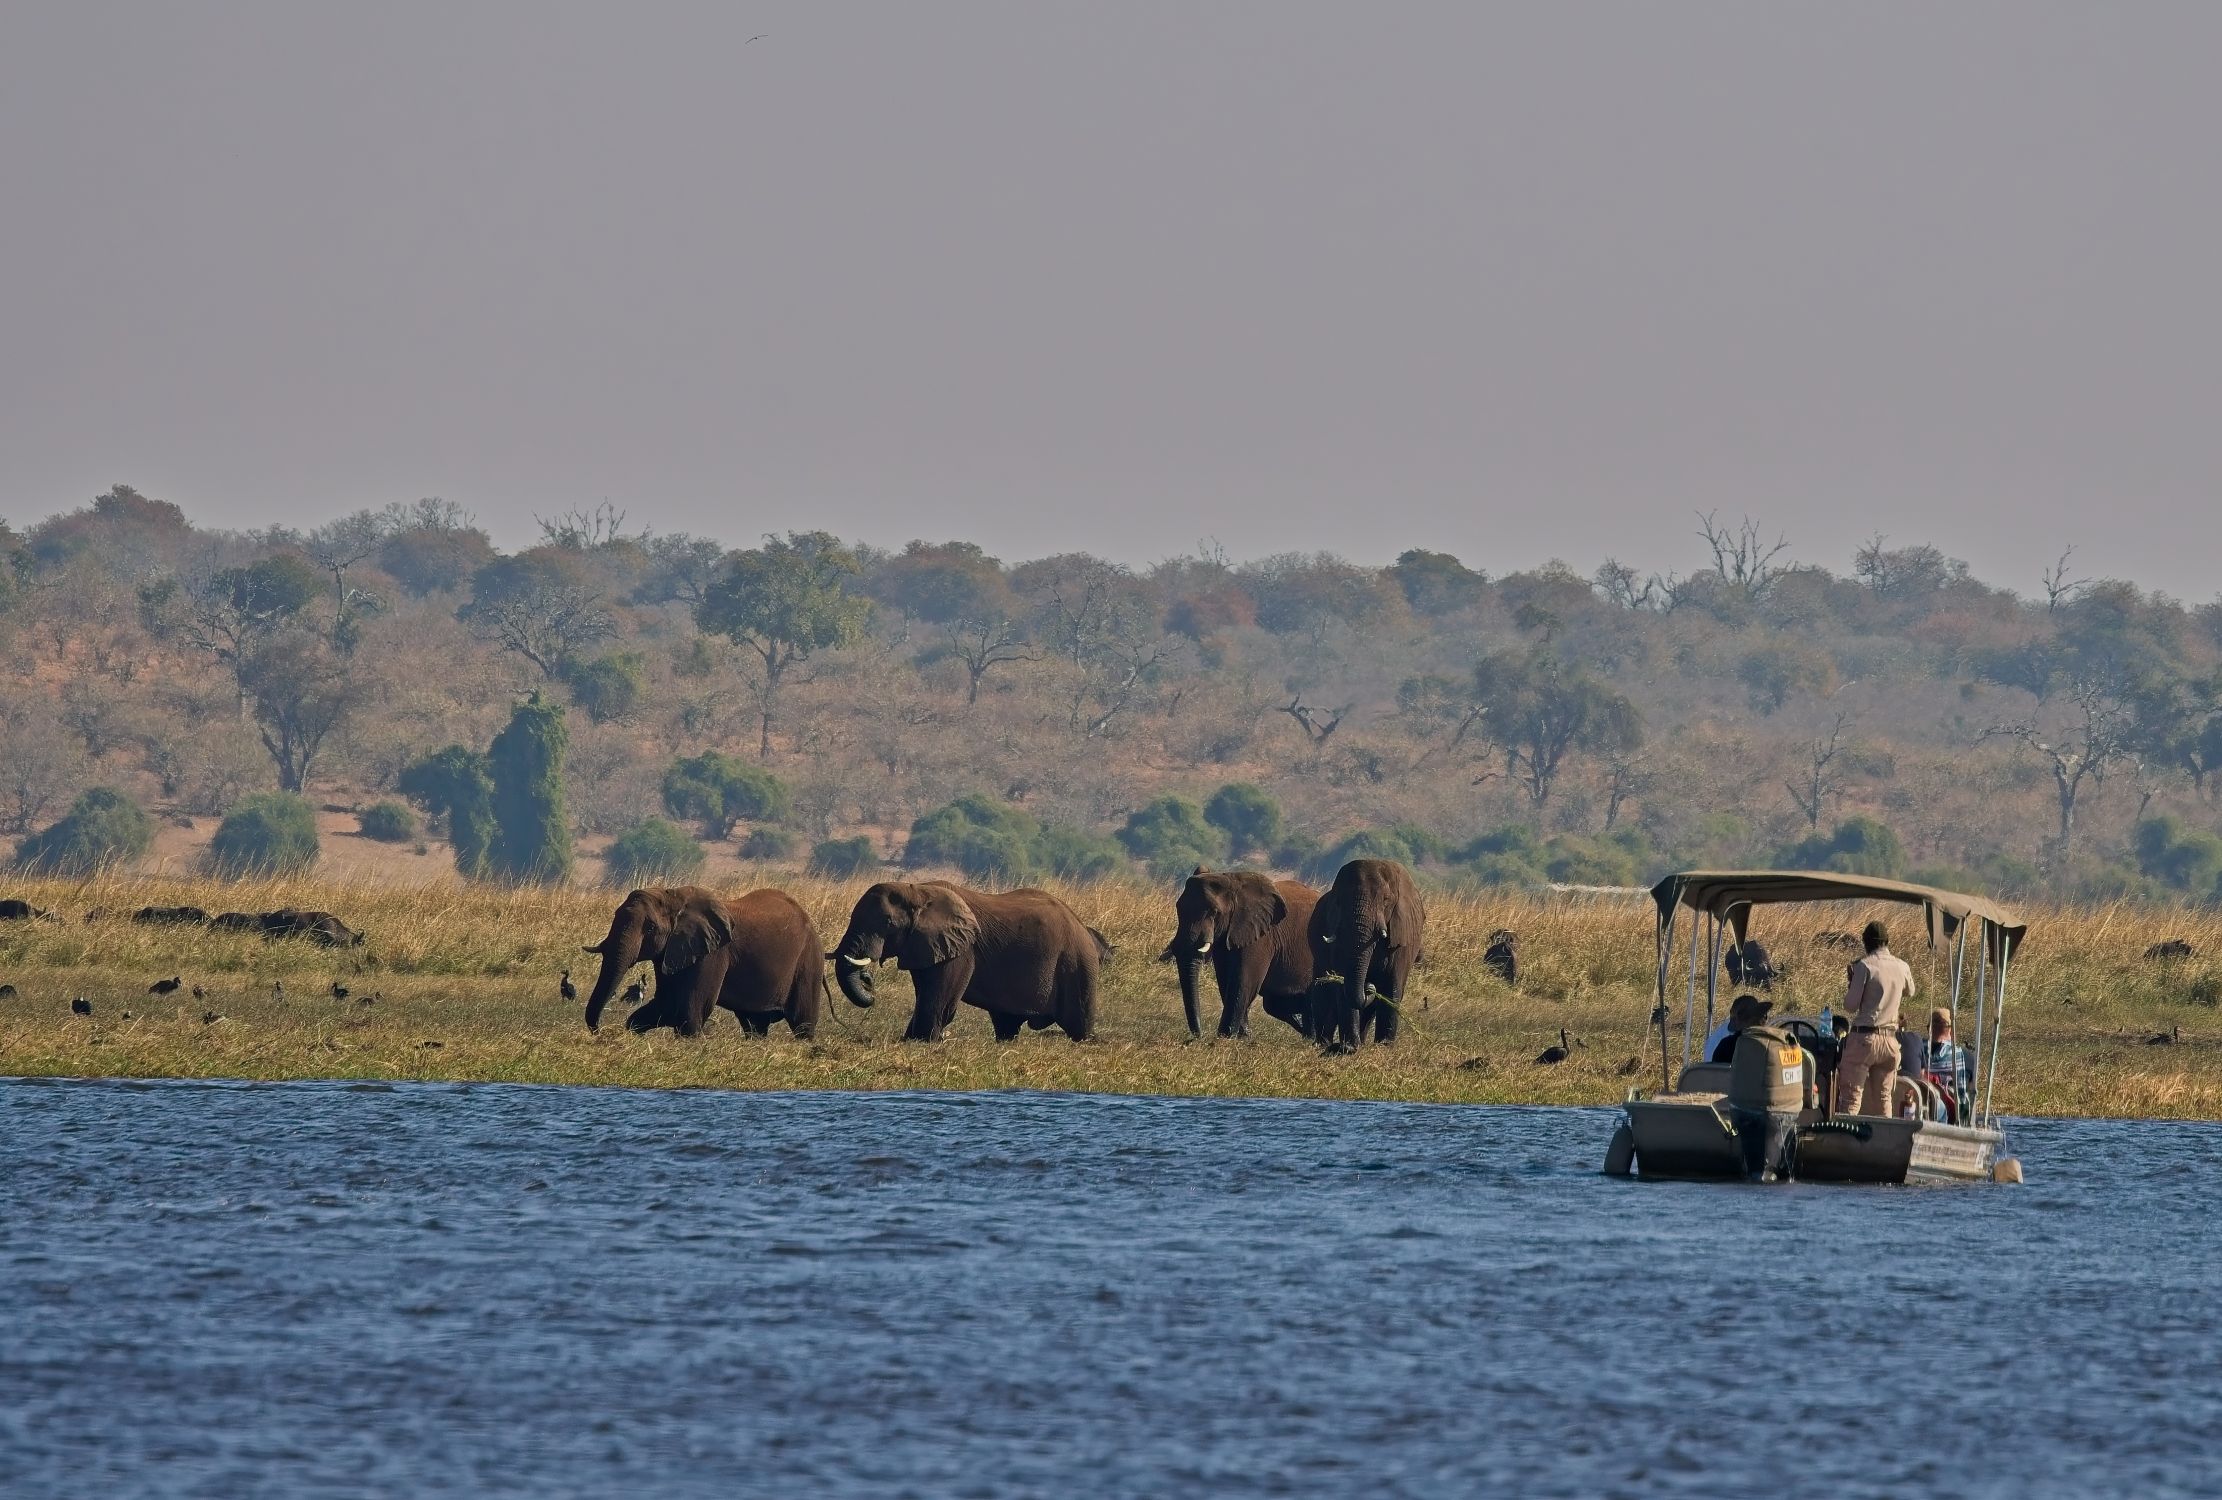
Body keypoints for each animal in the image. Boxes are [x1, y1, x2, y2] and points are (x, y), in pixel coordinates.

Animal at [582, 886, 827, 1039]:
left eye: (650, 927)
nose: (600, 1032)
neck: (672, 896)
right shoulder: (672, 950)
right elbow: (665, 1005)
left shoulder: (713, 953)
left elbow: (690, 1014)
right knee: (755, 1025)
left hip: (809, 961)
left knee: (802, 1023)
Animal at [830, 881, 1099, 1042]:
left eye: (887, 922)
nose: (868, 979)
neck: (918, 890)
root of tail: (1082, 926)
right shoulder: (925, 945)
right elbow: (925, 993)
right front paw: (911, 1040)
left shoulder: (962, 949)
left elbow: (939, 999)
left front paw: (923, 1042)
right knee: (1006, 1022)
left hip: (1077, 964)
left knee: (1078, 1022)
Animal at [1159, 868, 1318, 1038]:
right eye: (1178, 908)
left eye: (1214, 912)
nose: (1199, 1035)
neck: (1232, 880)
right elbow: (1225, 981)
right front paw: (1244, 1036)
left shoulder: (1261, 936)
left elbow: (1243, 981)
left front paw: (1226, 1037)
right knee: (1276, 1005)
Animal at [1307, 858, 1426, 1051]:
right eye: (1339, 901)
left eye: (1386, 900)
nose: (1369, 986)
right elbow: (1344, 986)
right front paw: (1350, 1048)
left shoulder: (1402, 933)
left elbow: (1392, 986)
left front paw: (1384, 1047)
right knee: (1323, 992)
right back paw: (1323, 1044)